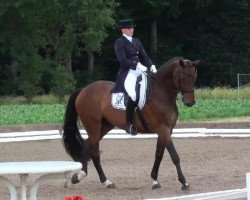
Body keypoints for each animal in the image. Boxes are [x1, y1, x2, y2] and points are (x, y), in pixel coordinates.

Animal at [62, 57, 199, 191]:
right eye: (183, 77)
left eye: (195, 76)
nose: (190, 103)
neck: (161, 93)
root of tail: (83, 90)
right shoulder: (163, 129)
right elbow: (174, 156)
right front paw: (184, 183)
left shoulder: (166, 131)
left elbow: (159, 155)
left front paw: (155, 180)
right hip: (93, 126)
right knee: (94, 152)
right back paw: (105, 181)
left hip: (104, 126)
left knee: (86, 146)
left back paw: (80, 177)